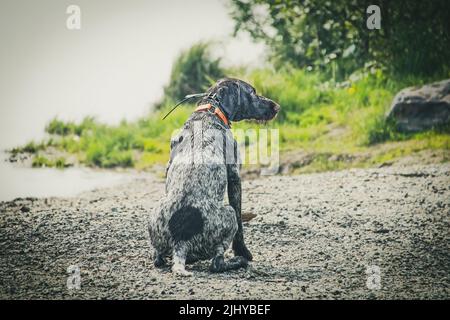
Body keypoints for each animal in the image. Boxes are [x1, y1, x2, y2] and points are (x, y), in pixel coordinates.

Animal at [149, 77, 280, 276]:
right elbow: (240, 227)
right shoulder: (234, 176)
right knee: (216, 263)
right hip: (229, 215)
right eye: (252, 92)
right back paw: (238, 261)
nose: (277, 107)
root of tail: (180, 243)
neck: (210, 110)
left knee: (158, 258)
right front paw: (243, 252)